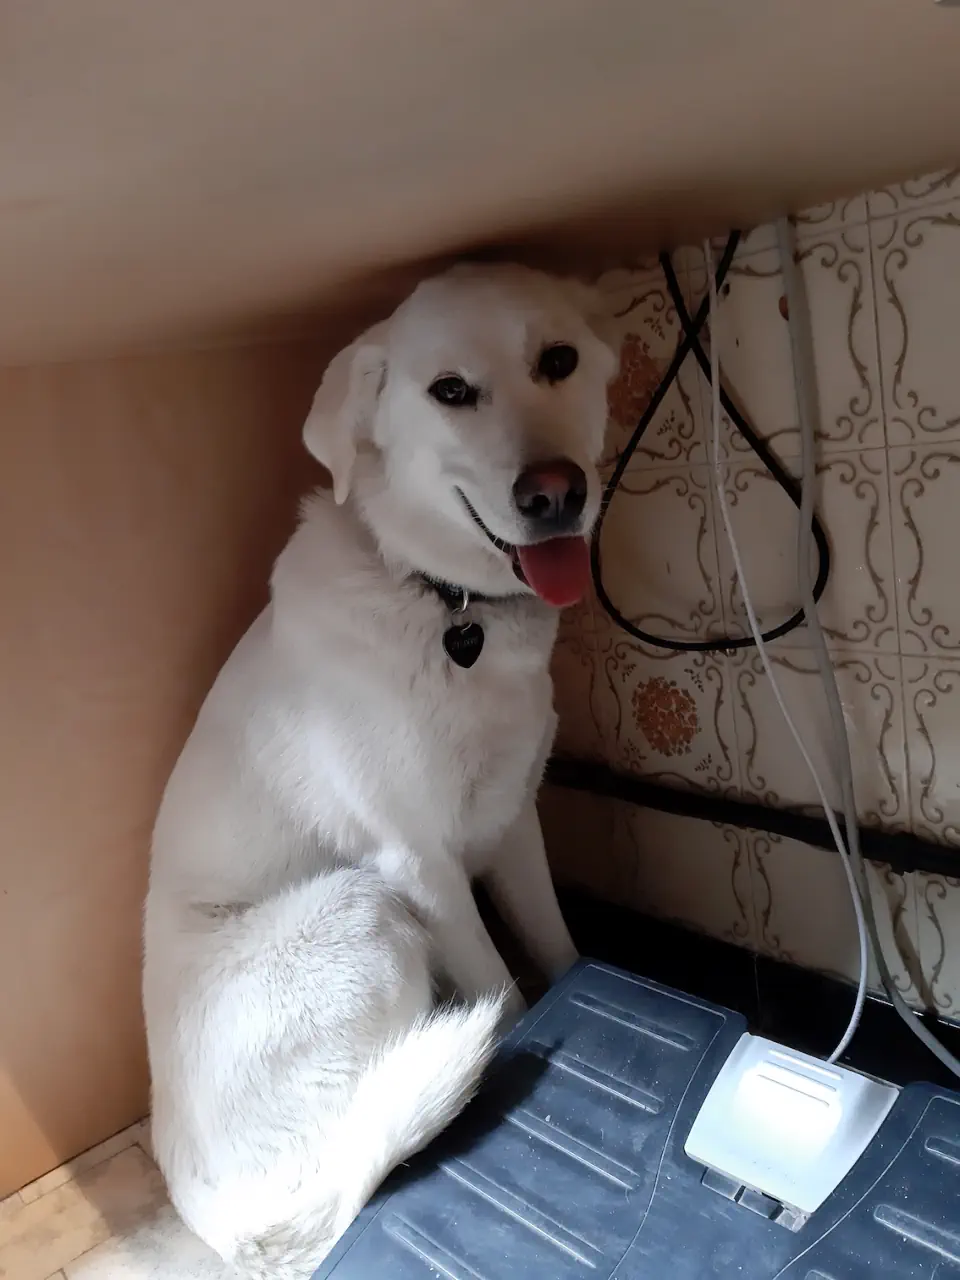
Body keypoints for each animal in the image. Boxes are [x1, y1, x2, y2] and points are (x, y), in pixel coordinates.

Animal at [146, 264, 619, 1274]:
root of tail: (231, 1219)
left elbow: (559, 951)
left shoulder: (512, 825)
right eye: (451, 391)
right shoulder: (419, 865)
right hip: (361, 906)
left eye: (557, 361)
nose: (556, 492)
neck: (445, 608)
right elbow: (507, 990)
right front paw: (517, 1027)